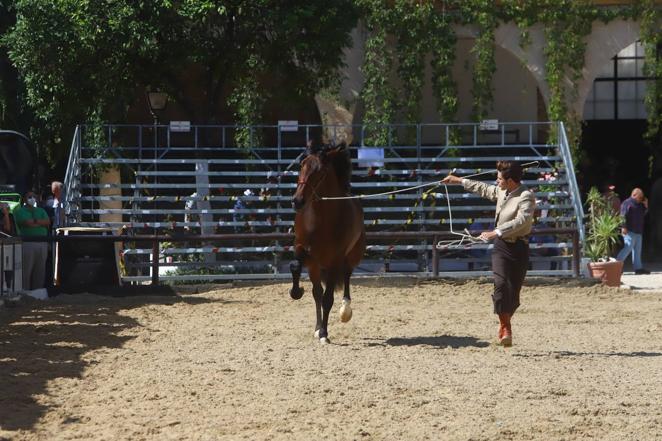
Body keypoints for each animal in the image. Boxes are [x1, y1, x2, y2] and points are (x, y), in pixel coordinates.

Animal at [290, 143, 368, 342]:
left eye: (320, 172)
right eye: (301, 165)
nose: (297, 201)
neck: (320, 220)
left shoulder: (335, 260)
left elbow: (328, 299)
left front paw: (324, 334)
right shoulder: (304, 251)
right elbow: (295, 267)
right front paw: (296, 292)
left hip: (352, 256)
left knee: (346, 276)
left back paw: (345, 310)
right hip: (315, 265)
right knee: (317, 292)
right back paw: (317, 327)